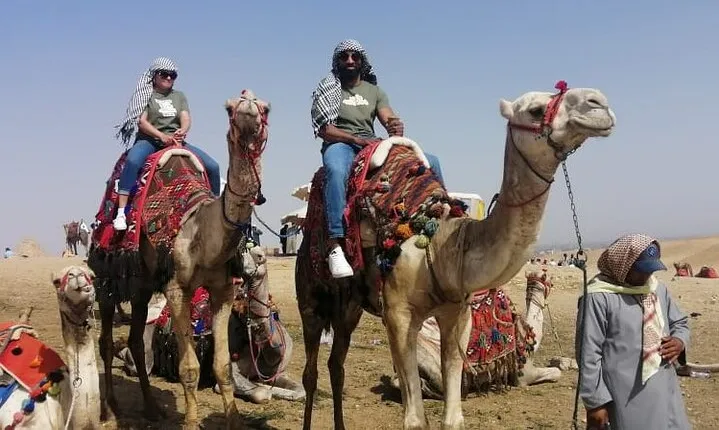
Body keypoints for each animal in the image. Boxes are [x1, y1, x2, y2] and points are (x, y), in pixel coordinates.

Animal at [88, 89, 270, 429]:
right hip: (107, 274)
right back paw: (110, 409)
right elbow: (189, 368)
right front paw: (190, 421)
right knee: (105, 339)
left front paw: (233, 421)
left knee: (135, 340)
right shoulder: (176, 289)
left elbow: (223, 366)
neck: (201, 227)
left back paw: (151, 408)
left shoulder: (223, 290)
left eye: (265, 108)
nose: (248, 110)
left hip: (143, 284)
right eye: (229, 108)